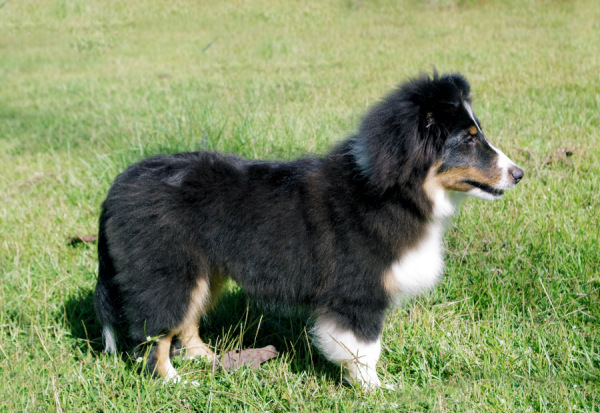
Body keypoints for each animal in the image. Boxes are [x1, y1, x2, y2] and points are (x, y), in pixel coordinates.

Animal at [94, 71, 520, 386]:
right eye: (468, 139)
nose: (519, 174)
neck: (396, 191)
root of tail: (117, 186)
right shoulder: (357, 293)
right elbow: (365, 349)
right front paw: (375, 390)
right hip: (166, 271)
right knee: (155, 334)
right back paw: (175, 381)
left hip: (202, 272)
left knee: (185, 322)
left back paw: (209, 359)